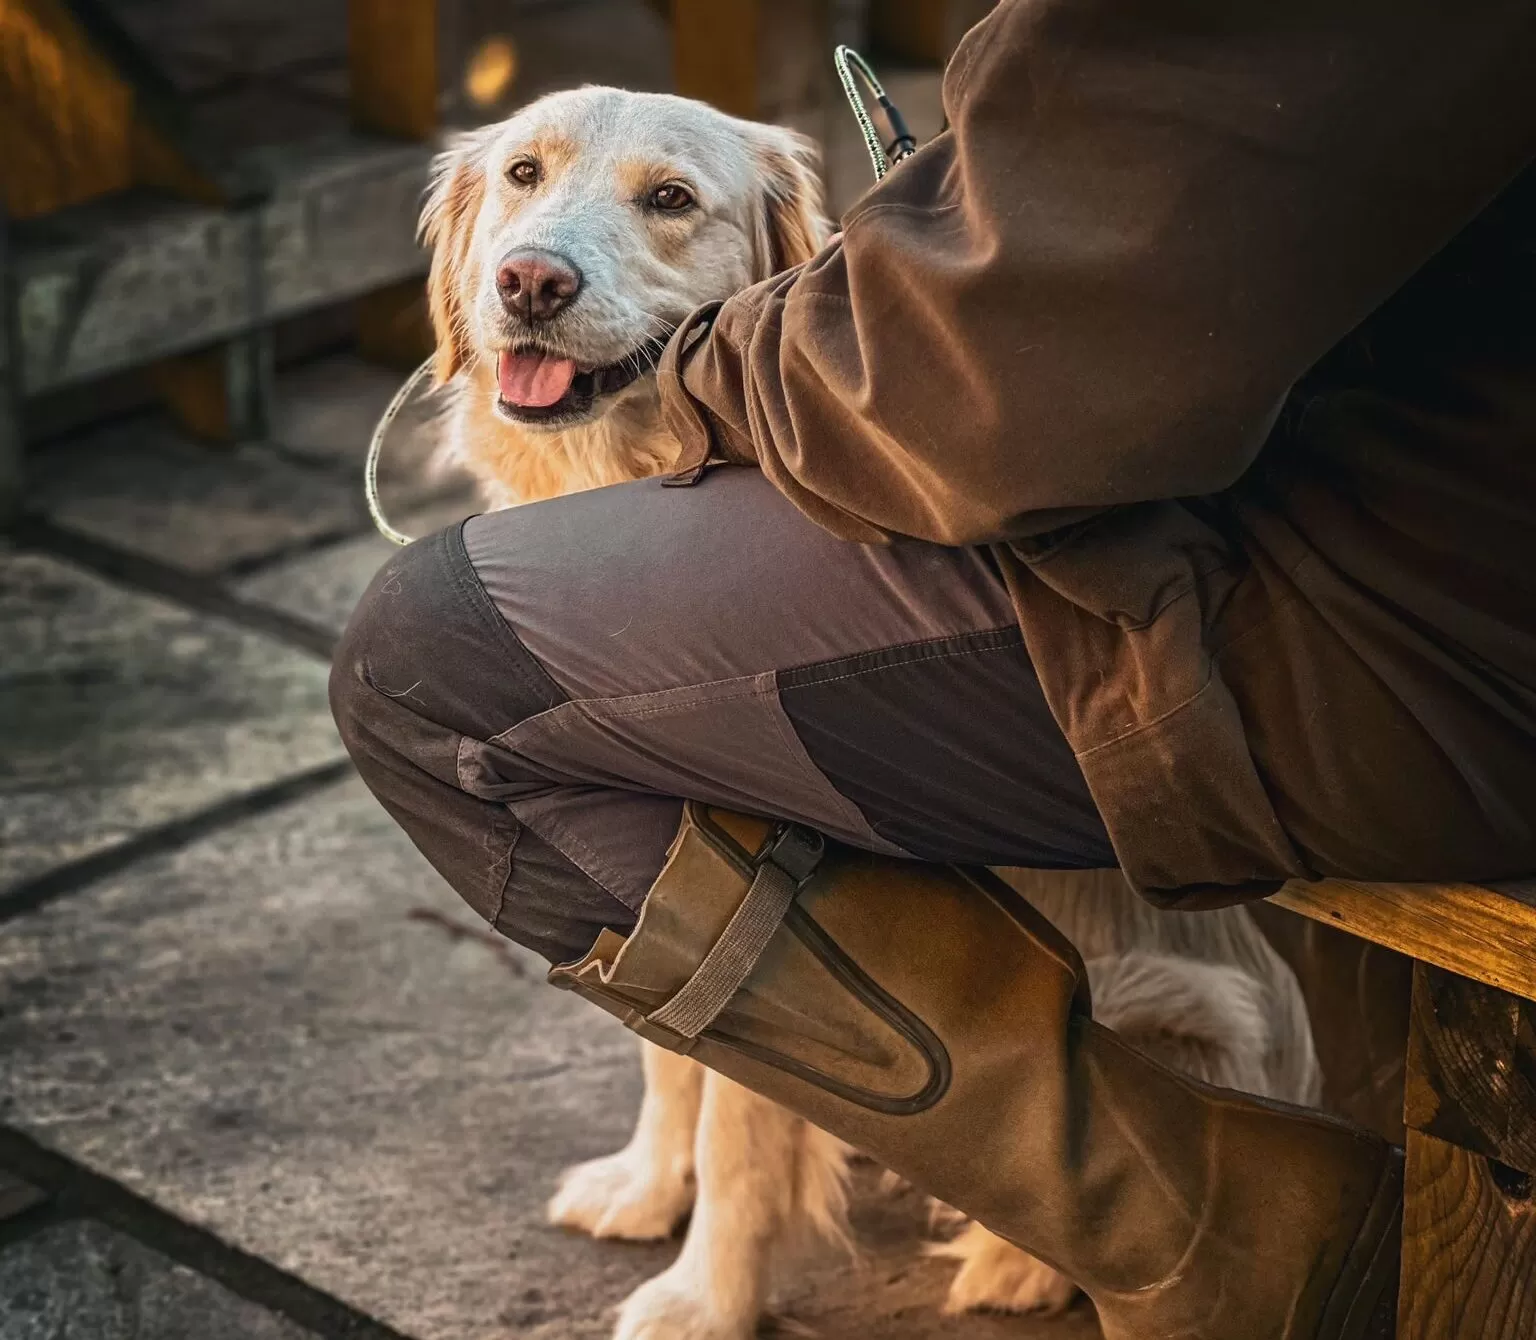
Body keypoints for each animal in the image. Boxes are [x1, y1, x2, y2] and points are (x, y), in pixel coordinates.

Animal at [417, 86, 1320, 1340]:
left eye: (671, 199)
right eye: (522, 174)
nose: (531, 282)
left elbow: (742, 1126)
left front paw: (705, 1295)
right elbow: (668, 1058)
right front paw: (646, 1185)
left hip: (1182, 998)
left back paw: (1020, 1263)